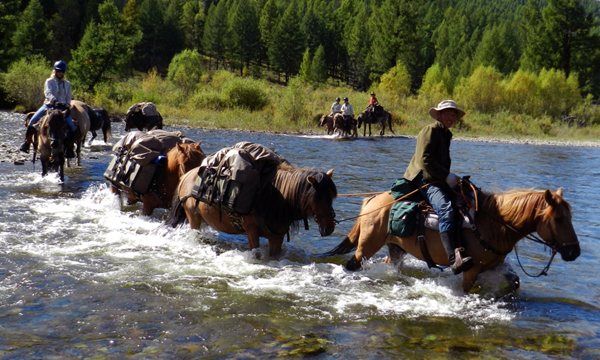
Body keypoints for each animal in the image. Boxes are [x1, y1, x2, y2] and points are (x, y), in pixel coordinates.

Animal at [166, 165, 340, 258]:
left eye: (332, 196)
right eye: (318, 198)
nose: (329, 228)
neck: (273, 197)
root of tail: (186, 175)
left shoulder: (277, 237)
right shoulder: (251, 231)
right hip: (193, 218)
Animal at [324, 187, 580, 292]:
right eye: (558, 219)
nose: (574, 252)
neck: (495, 224)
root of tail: (371, 200)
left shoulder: (494, 266)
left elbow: (514, 281)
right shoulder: (471, 271)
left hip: (396, 248)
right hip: (366, 247)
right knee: (352, 264)